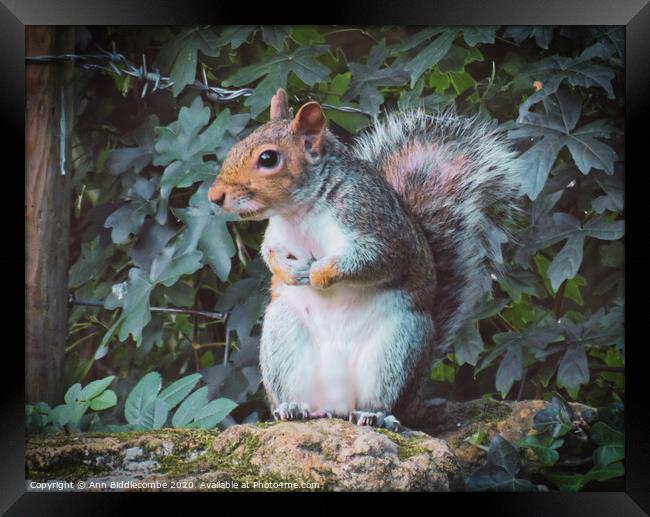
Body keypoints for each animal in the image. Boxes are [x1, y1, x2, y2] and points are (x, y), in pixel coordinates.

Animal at [208, 88, 520, 432]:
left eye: (268, 159)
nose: (214, 196)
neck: (301, 211)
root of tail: (336, 405)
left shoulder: (375, 224)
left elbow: (372, 260)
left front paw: (318, 273)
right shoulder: (277, 234)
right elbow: (270, 253)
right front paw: (292, 272)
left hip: (397, 347)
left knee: (385, 401)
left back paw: (376, 415)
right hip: (283, 338)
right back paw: (293, 408)